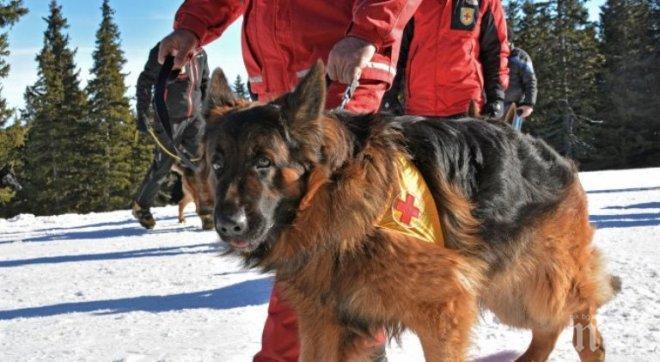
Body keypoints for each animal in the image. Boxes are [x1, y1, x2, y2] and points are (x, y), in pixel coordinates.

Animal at [200, 63, 620, 362]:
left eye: (263, 162)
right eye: (217, 164)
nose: (228, 226)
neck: (334, 190)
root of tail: (545, 152)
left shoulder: (443, 312)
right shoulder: (324, 322)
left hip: (540, 285)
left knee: (580, 320)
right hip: (507, 290)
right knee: (548, 329)